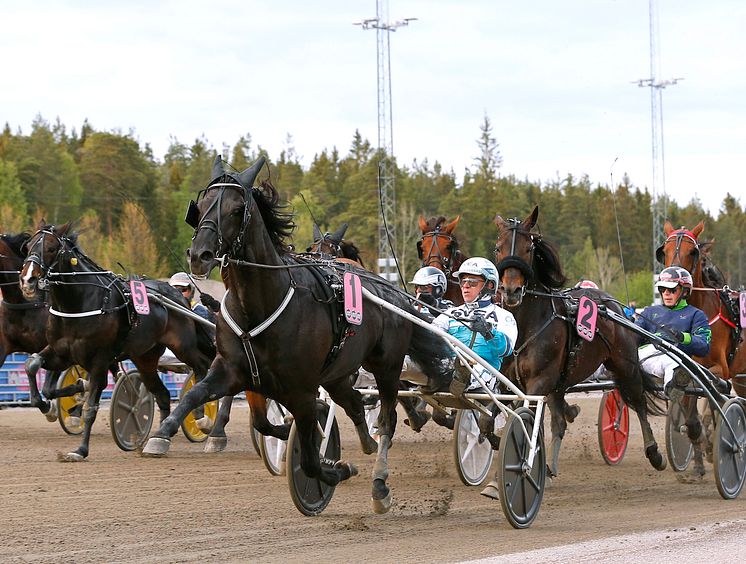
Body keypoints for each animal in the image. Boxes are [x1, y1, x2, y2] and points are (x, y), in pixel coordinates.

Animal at [18, 220, 215, 458]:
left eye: (50, 248)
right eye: (27, 247)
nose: (27, 280)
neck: (80, 303)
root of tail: (177, 297)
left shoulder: (99, 361)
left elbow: (90, 407)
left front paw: (81, 450)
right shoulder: (61, 352)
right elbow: (33, 366)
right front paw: (51, 404)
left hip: (183, 345)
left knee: (201, 366)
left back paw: (202, 419)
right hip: (145, 357)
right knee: (162, 394)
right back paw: (160, 438)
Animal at [142, 155, 450, 516]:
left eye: (237, 209)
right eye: (201, 206)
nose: (199, 255)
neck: (260, 304)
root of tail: (391, 292)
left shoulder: (301, 389)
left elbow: (312, 459)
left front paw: (335, 469)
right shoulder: (236, 372)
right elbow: (206, 400)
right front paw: (164, 433)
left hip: (386, 366)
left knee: (387, 417)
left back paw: (380, 483)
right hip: (339, 372)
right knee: (353, 403)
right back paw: (366, 442)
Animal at [494, 206, 664, 476]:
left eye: (528, 248)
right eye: (497, 248)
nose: (511, 291)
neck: (526, 325)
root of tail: (610, 302)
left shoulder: (539, 381)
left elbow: (528, 417)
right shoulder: (507, 381)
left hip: (624, 365)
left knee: (638, 400)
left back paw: (654, 452)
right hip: (562, 380)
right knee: (560, 422)